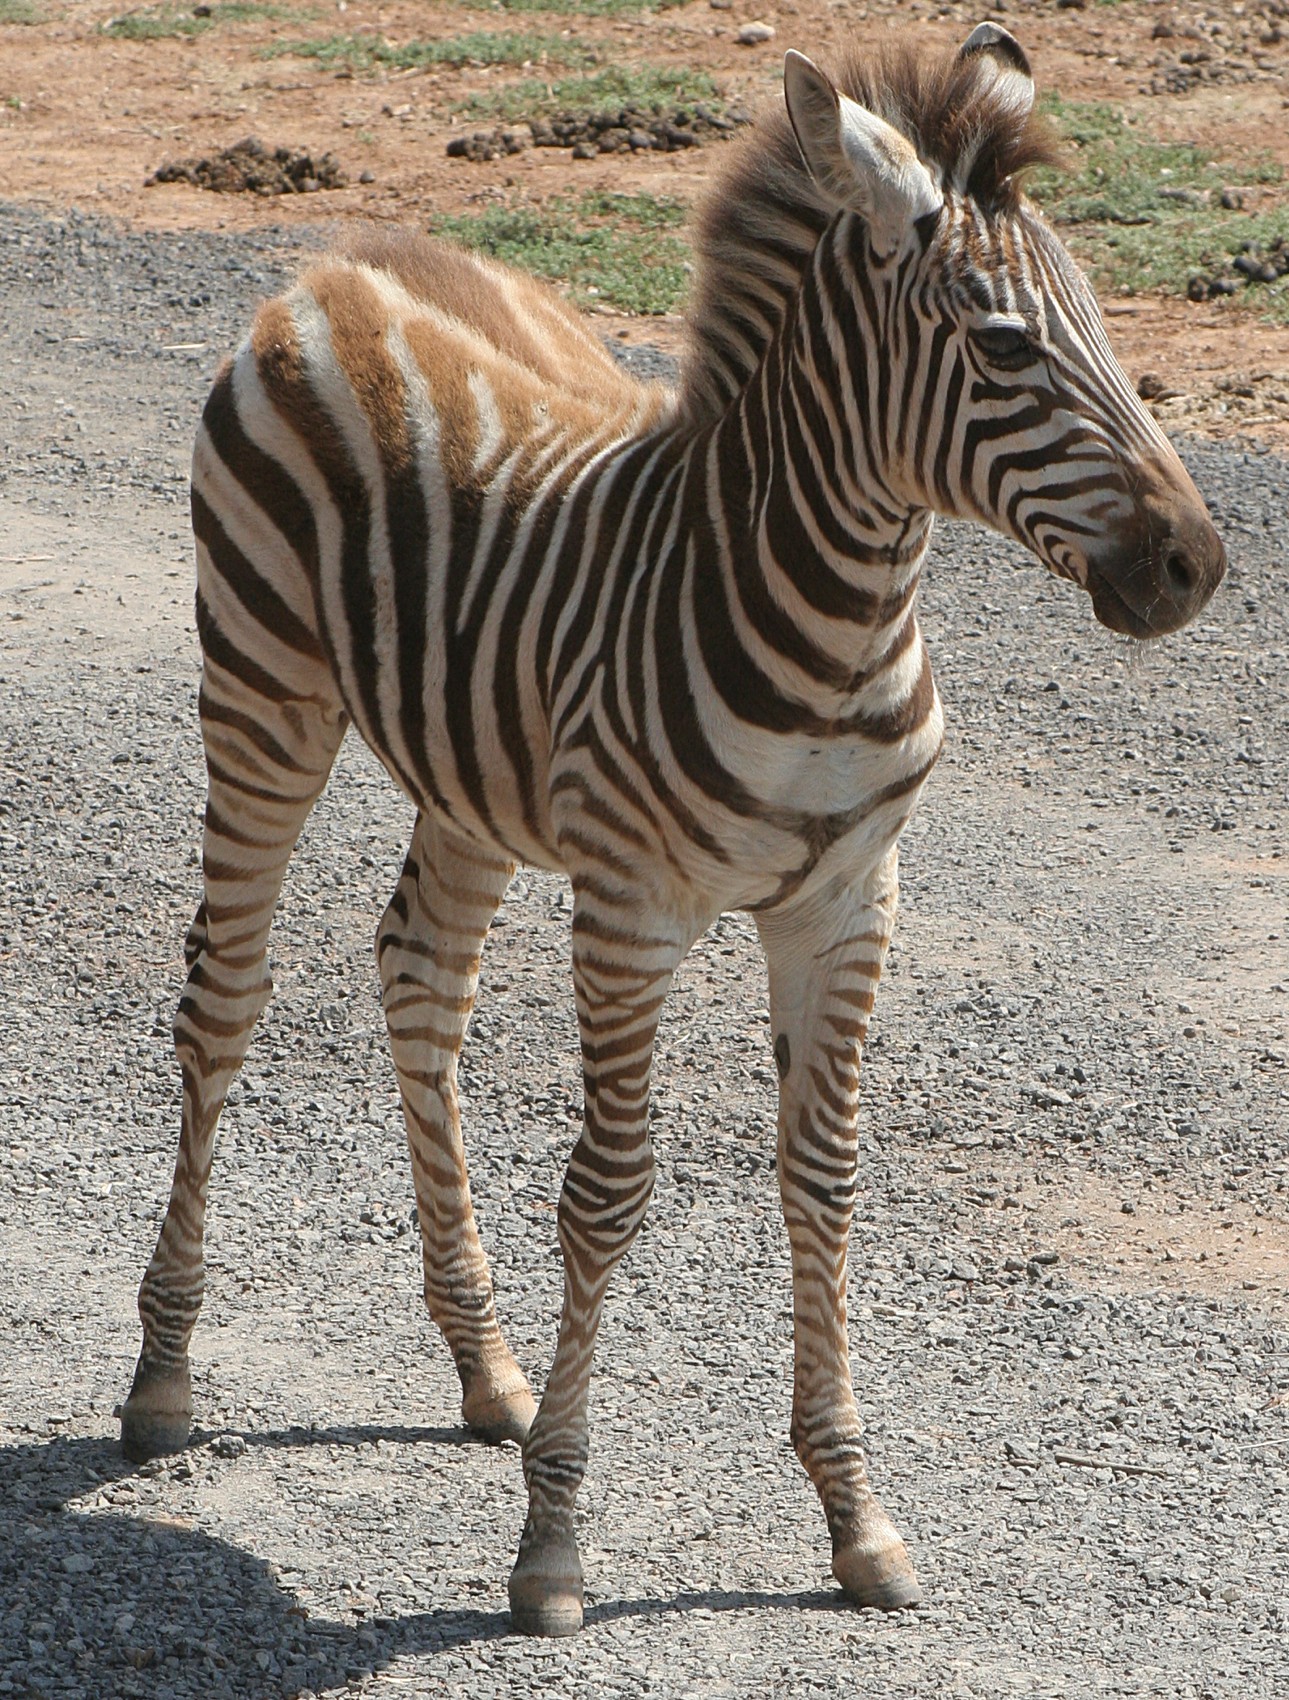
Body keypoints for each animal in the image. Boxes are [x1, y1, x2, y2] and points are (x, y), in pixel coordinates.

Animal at [120, 25, 1226, 1635]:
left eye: (1098, 324)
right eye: (1006, 345)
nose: (1195, 564)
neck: (838, 625)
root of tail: (340, 260)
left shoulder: (848, 897)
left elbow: (823, 1181)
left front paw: (853, 1517)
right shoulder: (633, 903)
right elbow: (607, 1195)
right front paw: (553, 1549)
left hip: (471, 767)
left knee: (420, 979)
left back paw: (487, 1368)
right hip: (263, 689)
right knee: (223, 1001)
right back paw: (161, 1380)